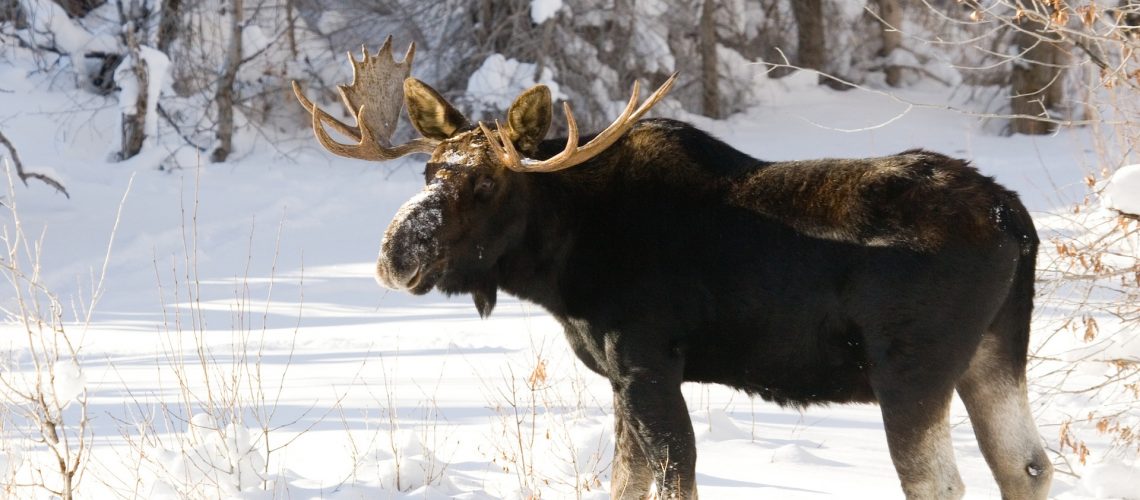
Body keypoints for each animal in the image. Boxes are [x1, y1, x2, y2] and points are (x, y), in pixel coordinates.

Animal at [293, 38, 1053, 499]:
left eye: (484, 185)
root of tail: (1013, 217)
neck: (559, 264)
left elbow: (671, 475)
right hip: (994, 356)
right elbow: (624, 480)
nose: (395, 255)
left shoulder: (647, 362)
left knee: (943, 481)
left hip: (911, 370)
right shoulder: (620, 377)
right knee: (1028, 466)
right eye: (428, 172)